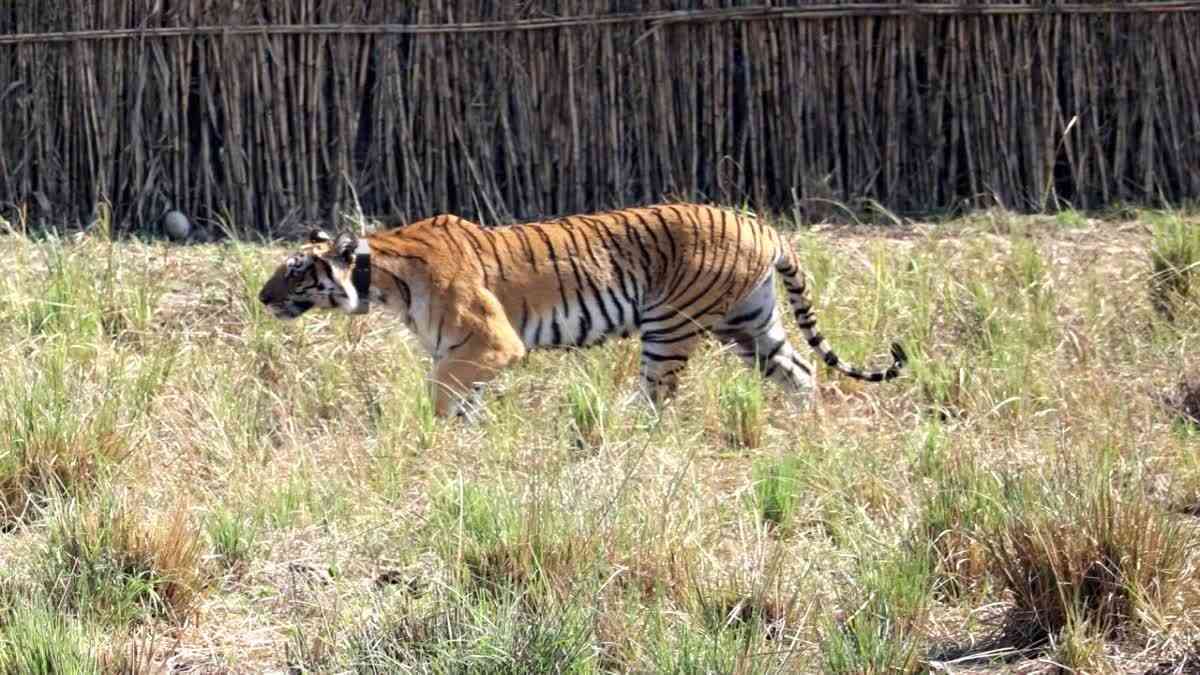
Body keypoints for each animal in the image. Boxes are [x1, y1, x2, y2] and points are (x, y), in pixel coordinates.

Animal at [257, 203, 906, 418]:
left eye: (294, 270)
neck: (382, 276)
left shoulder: (489, 344)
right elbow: (461, 401)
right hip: (747, 324)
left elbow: (440, 395)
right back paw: (803, 431)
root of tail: (764, 225)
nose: (262, 298)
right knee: (801, 371)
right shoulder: (465, 353)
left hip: (671, 326)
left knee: (658, 401)